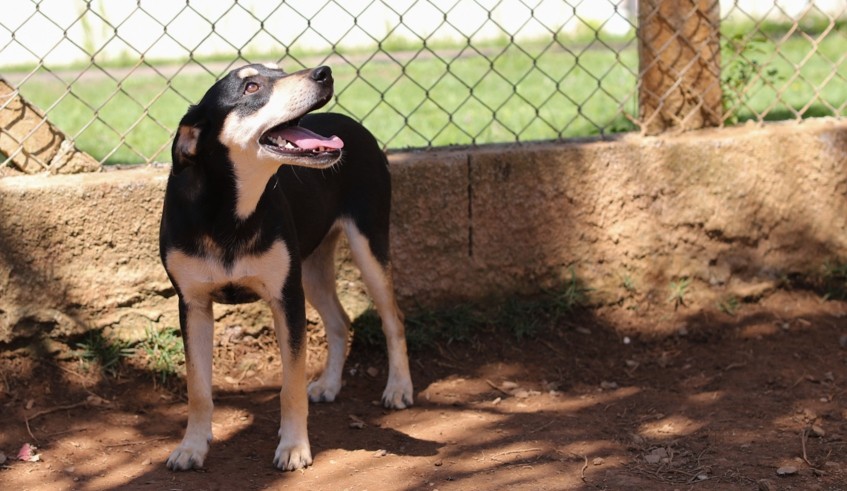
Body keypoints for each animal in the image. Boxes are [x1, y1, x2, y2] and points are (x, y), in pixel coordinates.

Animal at [159, 63, 414, 470]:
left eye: (279, 69)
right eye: (250, 86)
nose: (324, 72)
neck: (228, 213)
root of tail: (353, 125)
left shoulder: (286, 299)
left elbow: (290, 386)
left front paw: (294, 447)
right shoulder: (193, 305)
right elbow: (197, 388)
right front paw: (192, 446)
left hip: (367, 245)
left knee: (394, 319)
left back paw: (399, 388)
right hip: (311, 269)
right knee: (340, 321)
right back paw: (329, 384)